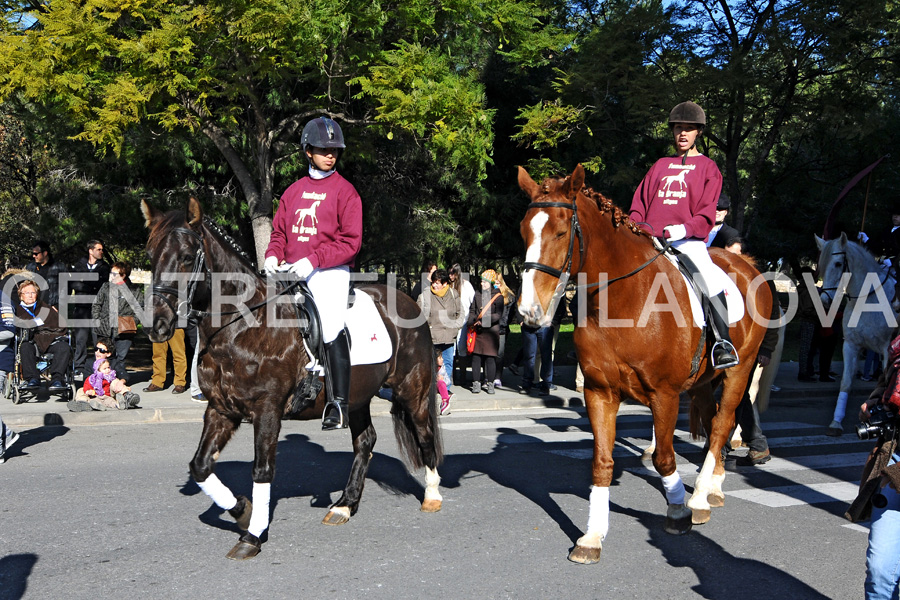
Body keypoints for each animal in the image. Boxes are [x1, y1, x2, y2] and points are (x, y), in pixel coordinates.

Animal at [142, 199, 446, 560]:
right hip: (357, 396)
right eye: (150, 254)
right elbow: (201, 465)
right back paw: (344, 505)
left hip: (413, 390)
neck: (243, 326)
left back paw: (432, 496)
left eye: (188, 256)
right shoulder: (221, 409)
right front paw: (242, 512)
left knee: (425, 434)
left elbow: (262, 470)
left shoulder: (267, 410)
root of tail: (409, 302)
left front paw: (253, 535)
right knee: (365, 441)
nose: (156, 324)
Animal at [516, 163, 768, 564]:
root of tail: (747, 265)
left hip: (738, 372)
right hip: (704, 382)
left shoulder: (664, 394)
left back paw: (699, 497)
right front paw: (592, 536)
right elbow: (602, 462)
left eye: (560, 231)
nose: (529, 311)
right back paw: (713, 485)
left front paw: (677, 510)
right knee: (714, 420)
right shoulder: (600, 392)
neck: (623, 300)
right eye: (524, 230)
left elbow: (665, 458)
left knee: (721, 425)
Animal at [812, 233, 896, 436]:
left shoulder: (886, 350)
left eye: (837, 264)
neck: (868, 299)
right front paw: (836, 423)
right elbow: (846, 383)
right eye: (821, 263)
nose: (824, 300)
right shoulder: (851, 344)